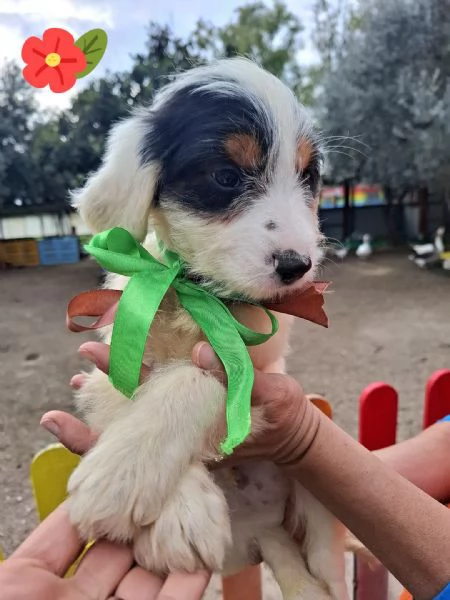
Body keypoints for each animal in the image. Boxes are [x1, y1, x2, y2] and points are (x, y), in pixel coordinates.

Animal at [69, 57, 348, 600]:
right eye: (225, 176)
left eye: (308, 178)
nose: (298, 266)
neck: (199, 296)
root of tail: (263, 524)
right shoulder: (110, 357)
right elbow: (120, 393)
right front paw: (180, 510)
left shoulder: (259, 379)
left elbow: (194, 377)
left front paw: (119, 477)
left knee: (326, 558)